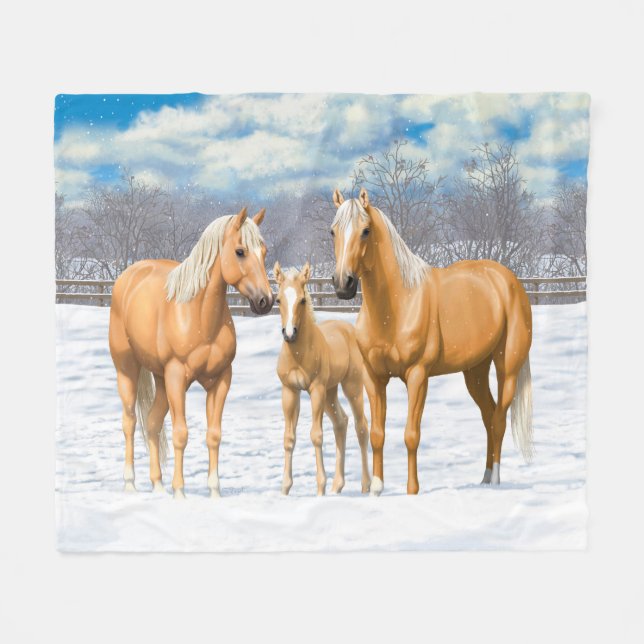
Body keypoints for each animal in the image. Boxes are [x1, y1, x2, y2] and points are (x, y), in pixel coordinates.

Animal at [108, 207, 273, 498]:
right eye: (240, 251)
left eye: (263, 252)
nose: (266, 301)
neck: (198, 315)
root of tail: (129, 275)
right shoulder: (177, 377)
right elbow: (181, 434)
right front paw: (180, 493)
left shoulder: (220, 380)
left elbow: (214, 435)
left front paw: (214, 492)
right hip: (127, 369)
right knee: (130, 422)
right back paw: (130, 484)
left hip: (161, 379)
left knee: (152, 422)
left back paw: (158, 485)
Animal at [274, 262, 371, 496]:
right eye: (278, 299)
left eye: (302, 300)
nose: (289, 334)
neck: (299, 355)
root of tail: (349, 329)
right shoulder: (289, 391)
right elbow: (289, 438)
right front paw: (285, 488)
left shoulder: (315, 389)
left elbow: (316, 435)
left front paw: (320, 488)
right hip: (330, 392)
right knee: (341, 422)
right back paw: (337, 486)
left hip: (351, 386)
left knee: (361, 427)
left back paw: (366, 485)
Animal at [330, 188, 533, 495]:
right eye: (333, 231)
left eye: (365, 231)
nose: (344, 284)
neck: (397, 305)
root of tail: (509, 280)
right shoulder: (373, 377)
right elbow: (377, 433)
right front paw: (377, 488)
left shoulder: (417, 376)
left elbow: (411, 434)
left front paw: (412, 490)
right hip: (475, 371)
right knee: (488, 416)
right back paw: (485, 478)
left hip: (507, 368)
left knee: (498, 420)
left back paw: (496, 480)